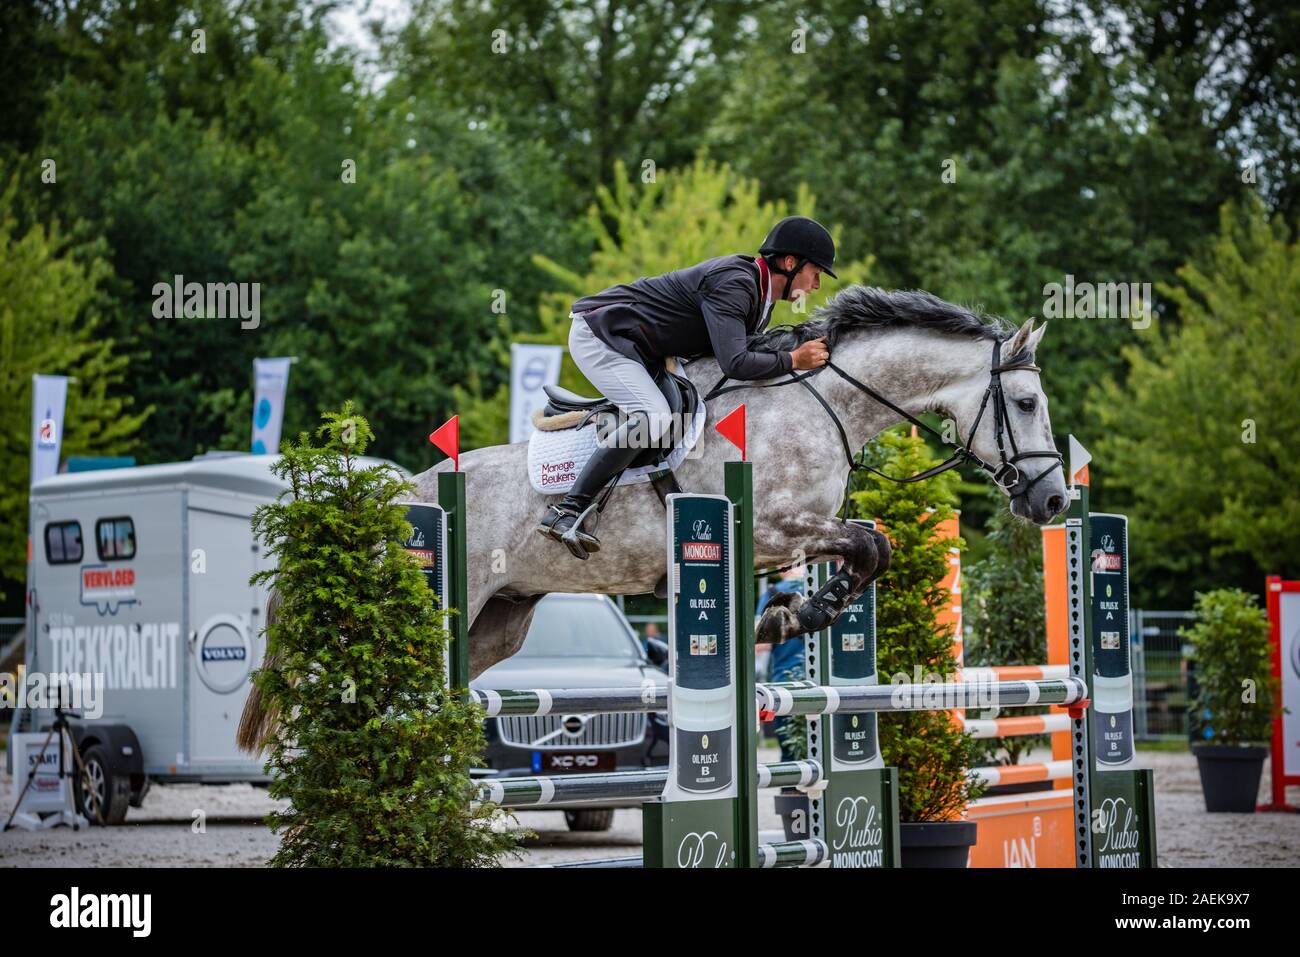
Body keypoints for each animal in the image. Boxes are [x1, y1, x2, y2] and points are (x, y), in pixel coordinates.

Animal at [236, 287, 1066, 748]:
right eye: (1026, 402)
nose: (1054, 501)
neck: (819, 400)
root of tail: (382, 500)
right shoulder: (775, 525)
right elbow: (868, 545)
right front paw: (793, 617)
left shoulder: (790, 537)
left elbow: (873, 549)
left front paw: (792, 614)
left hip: (498, 620)